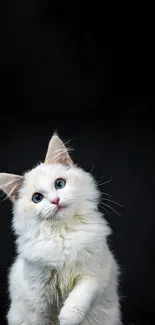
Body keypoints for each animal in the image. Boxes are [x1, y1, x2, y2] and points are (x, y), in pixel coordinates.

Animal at [0, 133, 121, 322]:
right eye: (37, 198)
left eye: (59, 184)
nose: (55, 200)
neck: (63, 233)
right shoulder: (38, 295)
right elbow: (41, 319)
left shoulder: (95, 273)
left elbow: (80, 296)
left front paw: (67, 317)